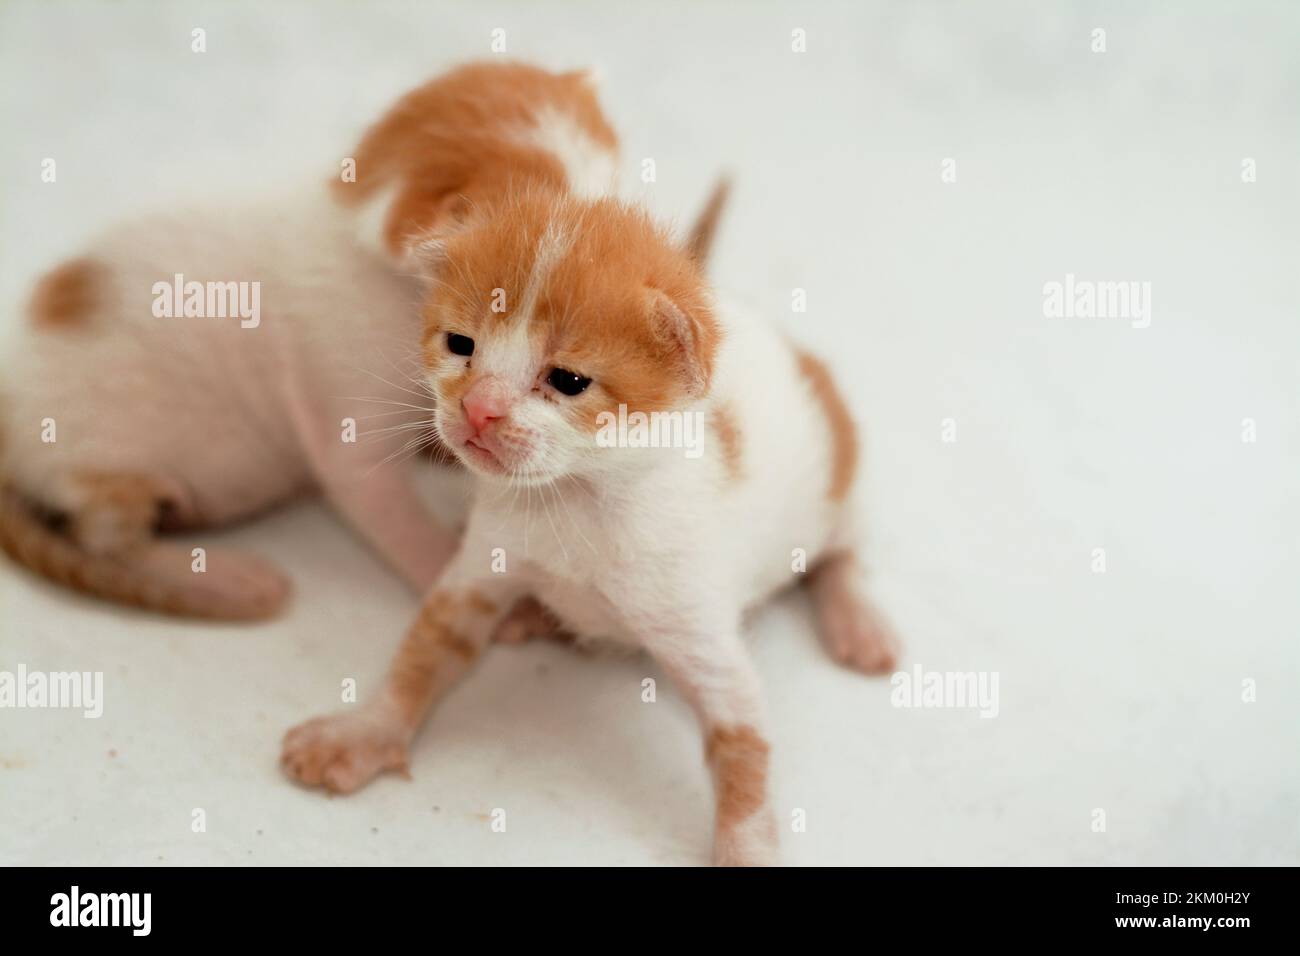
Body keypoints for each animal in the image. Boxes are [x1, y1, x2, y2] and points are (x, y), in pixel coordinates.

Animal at [0, 65, 618, 621]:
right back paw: (226, 576)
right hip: (104, 463)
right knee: (105, 538)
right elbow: (382, 503)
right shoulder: (346, 405)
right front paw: (482, 593)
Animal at [279, 187, 899, 868]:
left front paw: (746, 847)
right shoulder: (481, 569)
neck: (574, 499)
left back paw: (859, 621)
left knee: (842, 551)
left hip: (835, 486)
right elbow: (421, 653)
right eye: (461, 344)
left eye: (568, 380)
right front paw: (363, 732)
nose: (478, 408)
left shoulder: (699, 625)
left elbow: (742, 744)